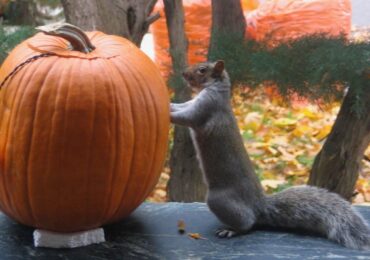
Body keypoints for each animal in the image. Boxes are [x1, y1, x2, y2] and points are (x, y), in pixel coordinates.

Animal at [171, 60, 370, 249]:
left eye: (202, 70)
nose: (183, 73)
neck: (217, 90)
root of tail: (259, 206)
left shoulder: (207, 107)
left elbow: (186, 116)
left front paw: (169, 112)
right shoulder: (194, 103)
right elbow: (182, 106)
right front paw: (171, 104)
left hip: (218, 200)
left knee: (247, 224)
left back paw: (231, 230)